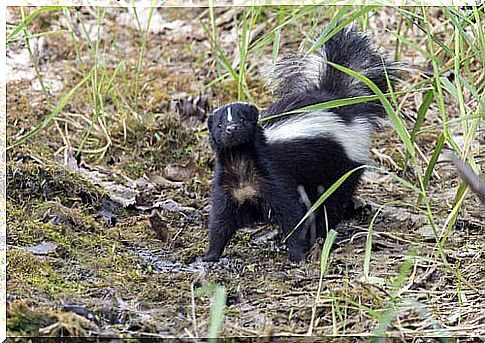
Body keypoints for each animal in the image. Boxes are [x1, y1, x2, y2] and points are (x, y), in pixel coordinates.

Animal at [202, 26, 396, 264]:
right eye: (220, 125)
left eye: (243, 120)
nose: (231, 129)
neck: (240, 161)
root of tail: (336, 99)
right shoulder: (227, 187)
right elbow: (220, 221)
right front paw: (209, 255)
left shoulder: (274, 177)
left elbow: (290, 213)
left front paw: (297, 254)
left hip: (340, 166)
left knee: (333, 200)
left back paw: (324, 232)